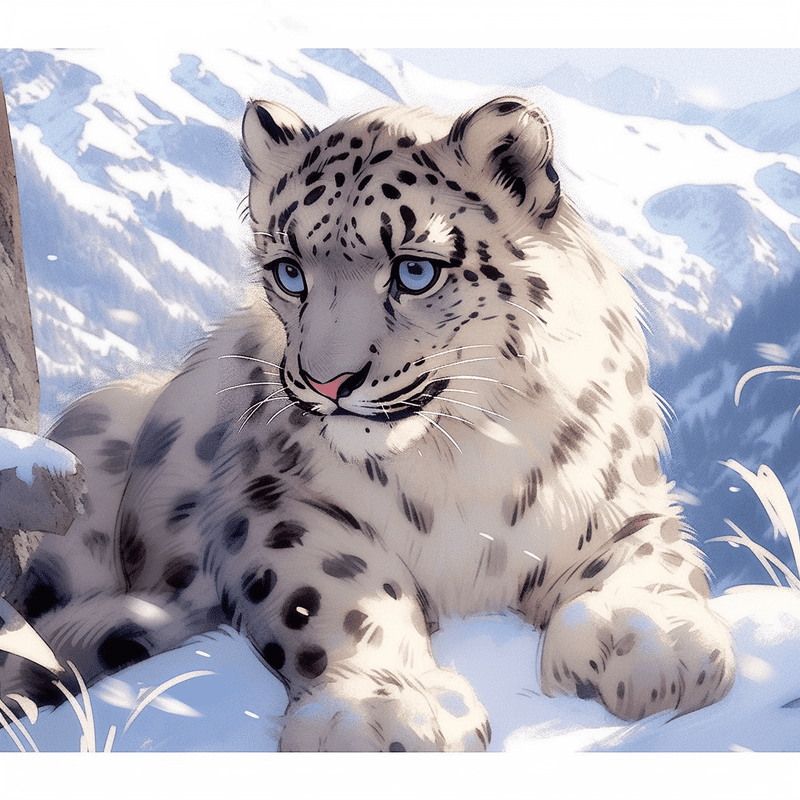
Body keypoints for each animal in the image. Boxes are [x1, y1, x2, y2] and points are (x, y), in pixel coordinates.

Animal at [0, 95, 735, 751]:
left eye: (414, 271)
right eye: (289, 273)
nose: (326, 381)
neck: (464, 458)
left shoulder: (621, 492)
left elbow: (647, 556)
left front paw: (650, 649)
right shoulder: (273, 500)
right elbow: (332, 589)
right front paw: (384, 711)